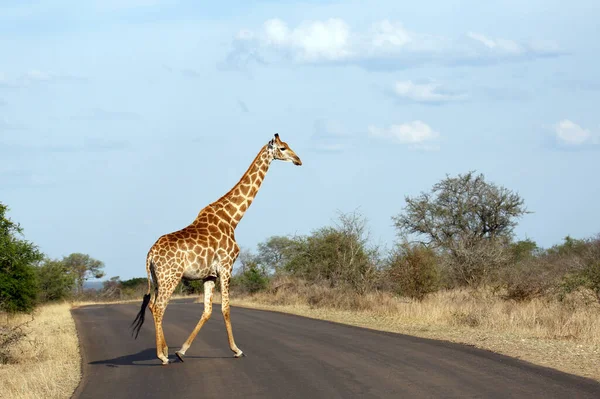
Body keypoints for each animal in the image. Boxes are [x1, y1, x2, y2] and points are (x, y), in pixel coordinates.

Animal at [129, 133, 302, 364]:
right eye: (283, 148)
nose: (298, 160)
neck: (232, 218)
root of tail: (149, 255)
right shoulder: (226, 266)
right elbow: (226, 308)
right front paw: (237, 350)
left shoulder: (209, 275)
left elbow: (208, 310)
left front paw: (181, 351)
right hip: (170, 277)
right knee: (159, 307)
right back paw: (161, 356)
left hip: (157, 279)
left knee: (152, 305)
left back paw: (165, 350)